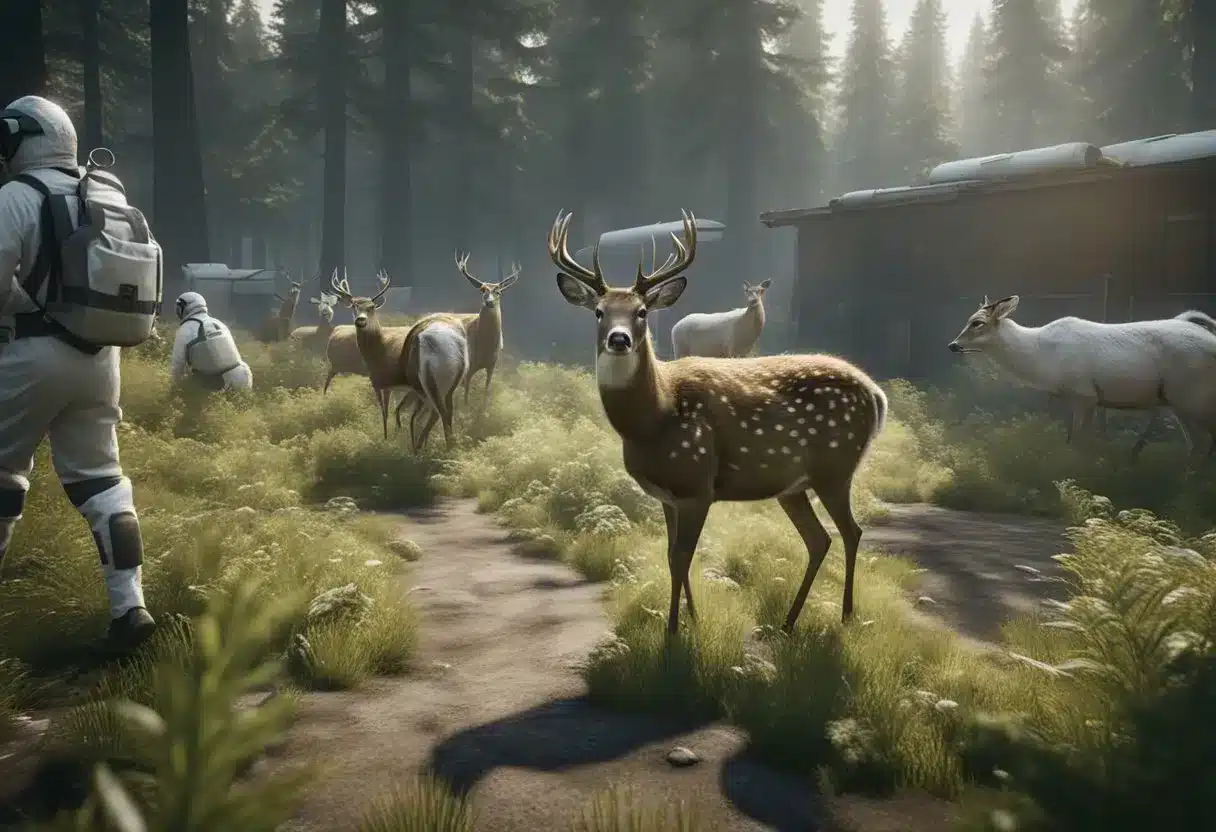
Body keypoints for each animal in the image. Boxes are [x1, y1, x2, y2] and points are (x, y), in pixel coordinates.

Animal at [548, 209, 889, 637]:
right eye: (599, 311)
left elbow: (683, 556)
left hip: (836, 468)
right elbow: (671, 554)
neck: (653, 418)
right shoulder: (668, 495)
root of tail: (877, 396)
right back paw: (788, 622)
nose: (619, 339)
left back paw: (845, 616)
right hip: (793, 486)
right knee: (819, 539)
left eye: (642, 312)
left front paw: (675, 629)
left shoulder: (698, 483)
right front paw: (691, 617)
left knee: (851, 532)